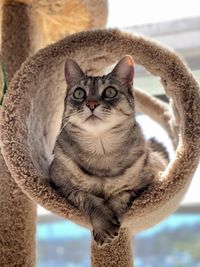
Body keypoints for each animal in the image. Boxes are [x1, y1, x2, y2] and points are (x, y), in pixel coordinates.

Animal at [49, 56, 168, 247]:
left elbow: (122, 194)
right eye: (79, 93)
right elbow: (86, 197)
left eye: (110, 92)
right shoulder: (60, 185)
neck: (101, 152)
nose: (91, 104)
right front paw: (103, 223)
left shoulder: (149, 181)